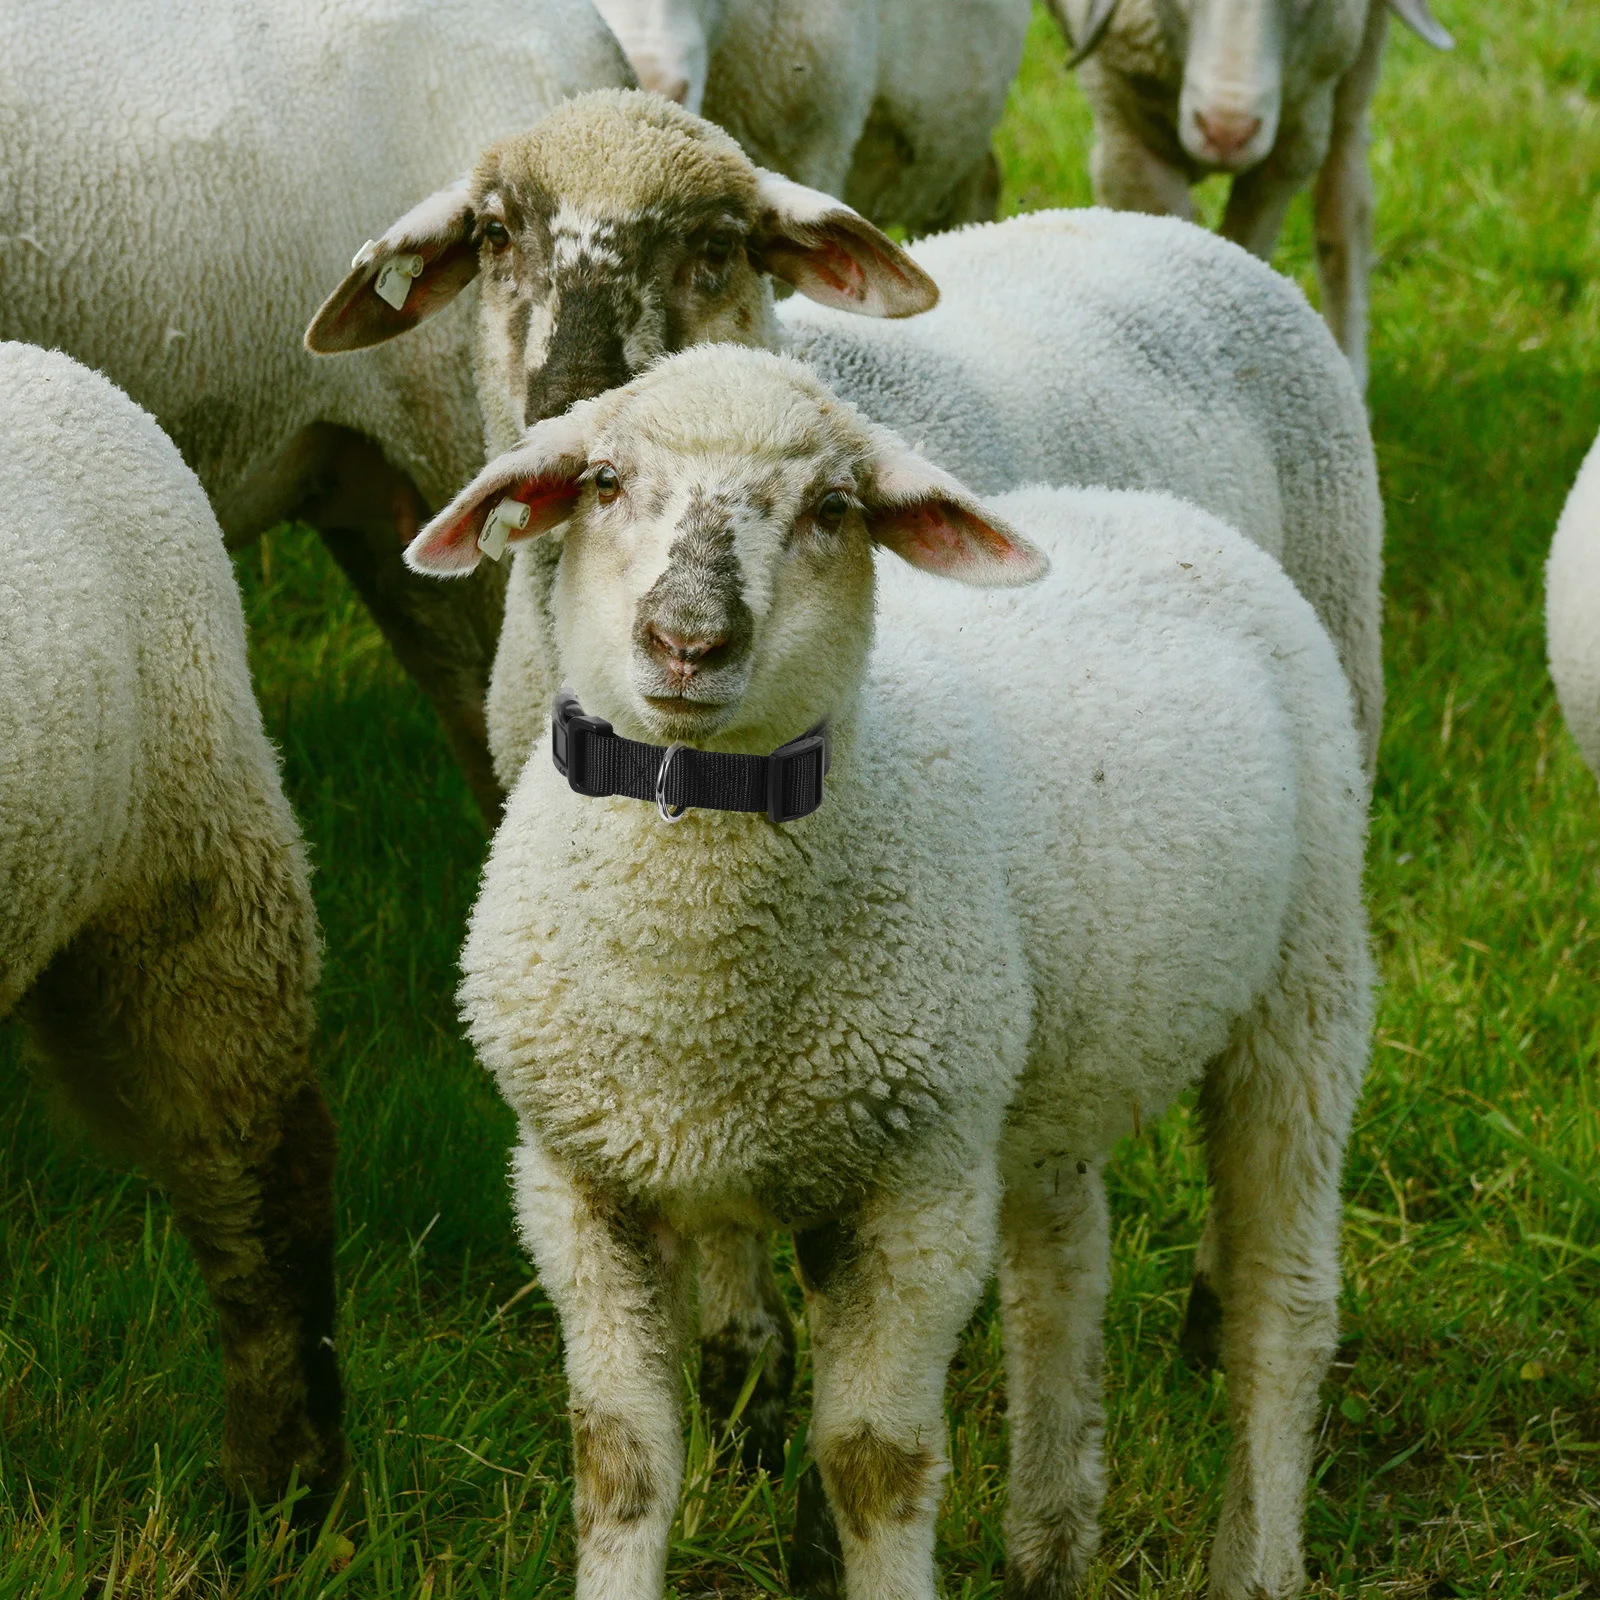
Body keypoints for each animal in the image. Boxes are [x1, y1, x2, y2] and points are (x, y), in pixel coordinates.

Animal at [404, 344, 1373, 1600]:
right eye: (606, 481)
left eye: (832, 508)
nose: (687, 639)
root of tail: (1155, 509)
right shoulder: (582, 1180)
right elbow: (619, 1456)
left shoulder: (912, 1190)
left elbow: (873, 1463)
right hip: (1038, 1061)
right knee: (1062, 1268)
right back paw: (1049, 1541)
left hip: (1305, 979)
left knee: (1281, 1305)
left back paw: (1251, 1560)